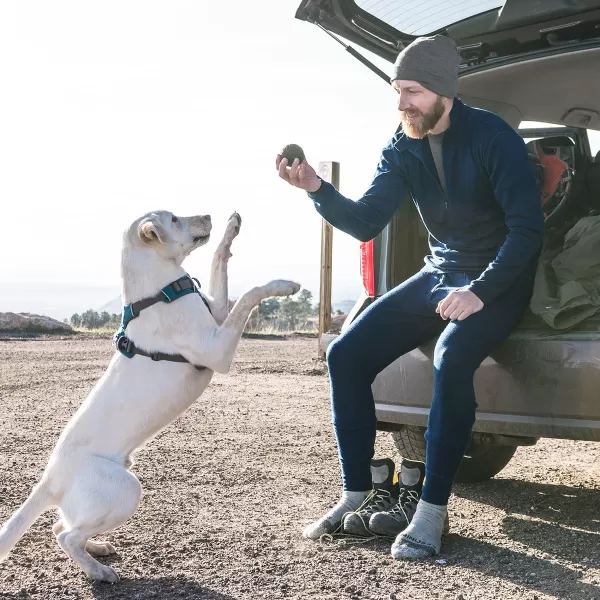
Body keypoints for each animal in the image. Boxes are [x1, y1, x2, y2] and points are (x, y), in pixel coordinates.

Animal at [0, 211, 300, 580]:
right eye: (173, 218)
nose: (207, 215)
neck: (161, 291)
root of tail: (49, 479)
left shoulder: (216, 310)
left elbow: (220, 260)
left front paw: (233, 230)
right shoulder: (217, 349)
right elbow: (247, 295)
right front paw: (281, 285)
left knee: (61, 527)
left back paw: (95, 550)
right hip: (126, 490)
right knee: (66, 536)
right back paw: (98, 571)